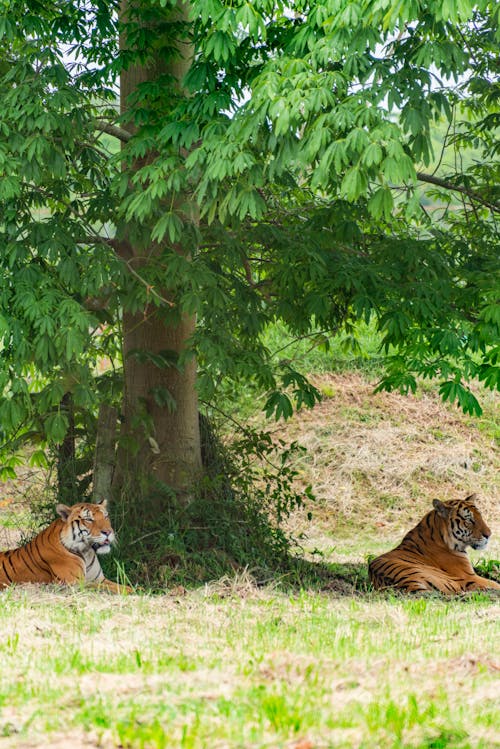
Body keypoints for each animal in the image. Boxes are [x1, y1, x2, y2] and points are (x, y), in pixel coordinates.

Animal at [0, 500, 132, 592]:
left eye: (105, 516)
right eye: (89, 519)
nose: (108, 532)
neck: (86, 552)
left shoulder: (99, 579)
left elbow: (124, 586)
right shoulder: (75, 583)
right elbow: (113, 588)